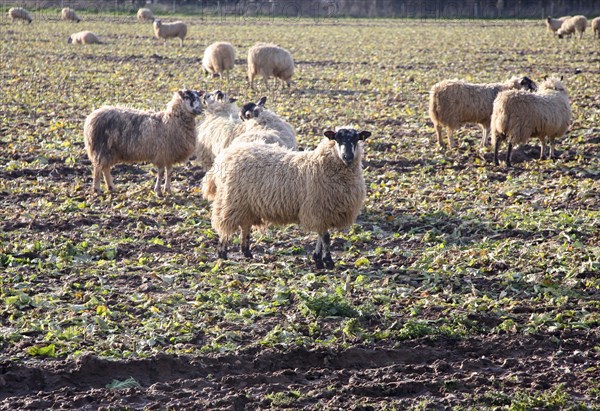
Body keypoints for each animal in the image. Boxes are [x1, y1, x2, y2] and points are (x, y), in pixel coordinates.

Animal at [203, 128, 370, 270]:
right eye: (337, 139)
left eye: (356, 139)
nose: (348, 157)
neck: (322, 163)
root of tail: (226, 154)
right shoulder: (317, 208)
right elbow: (326, 237)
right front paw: (327, 262)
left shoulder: (323, 211)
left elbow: (321, 236)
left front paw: (318, 258)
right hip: (230, 200)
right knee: (225, 224)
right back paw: (223, 254)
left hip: (246, 204)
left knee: (245, 227)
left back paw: (246, 253)